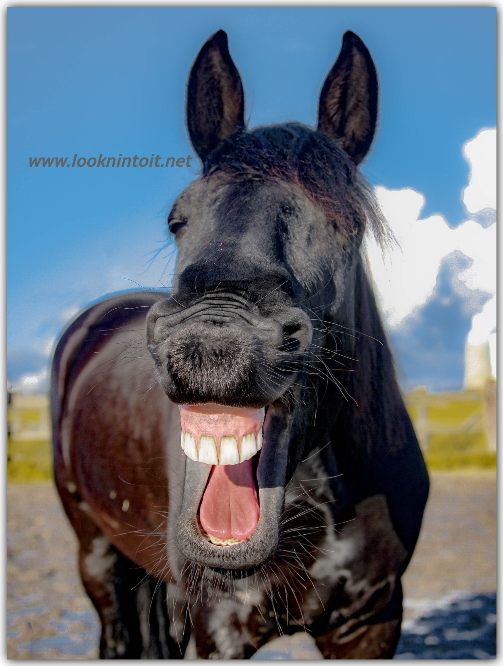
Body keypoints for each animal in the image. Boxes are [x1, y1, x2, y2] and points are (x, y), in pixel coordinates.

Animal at [51, 29, 429, 659]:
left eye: (345, 224)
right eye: (178, 219)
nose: (211, 343)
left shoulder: (371, 622)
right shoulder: (217, 627)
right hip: (96, 557)